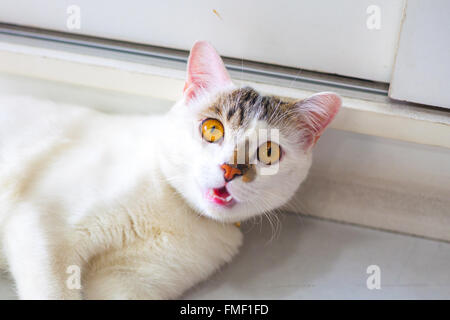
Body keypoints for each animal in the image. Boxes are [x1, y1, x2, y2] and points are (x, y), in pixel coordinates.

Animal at [0, 41, 340, 298]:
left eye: (269, 152)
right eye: (212, 129)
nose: (230, 168)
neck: (175, 211)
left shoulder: (127, 279)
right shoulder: (44, 227)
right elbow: (53, 291)